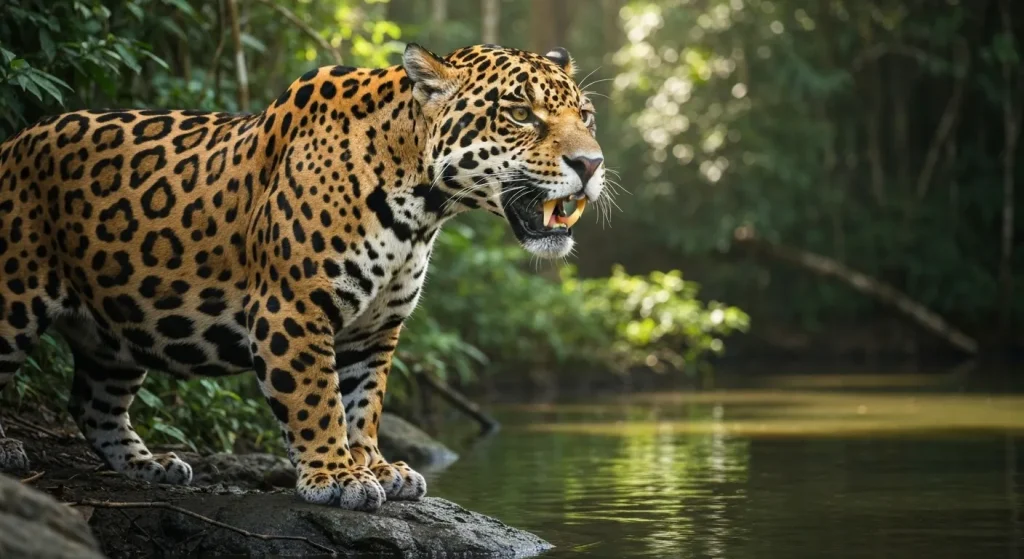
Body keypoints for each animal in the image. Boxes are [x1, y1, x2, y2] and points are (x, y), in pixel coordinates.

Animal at [0, 42, 606, 511]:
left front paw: (374, 466)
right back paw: (9, 451)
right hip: (14, 296)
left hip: (115, 332)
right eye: (521, 115)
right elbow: (317, 398)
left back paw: (152, 467)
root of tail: (13, 140)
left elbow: (364, 401)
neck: (422, 208)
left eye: (586, 117)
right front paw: (336, 477)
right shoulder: (292, 307)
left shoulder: (375, 328)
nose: (591, 164)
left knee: (92, 405)